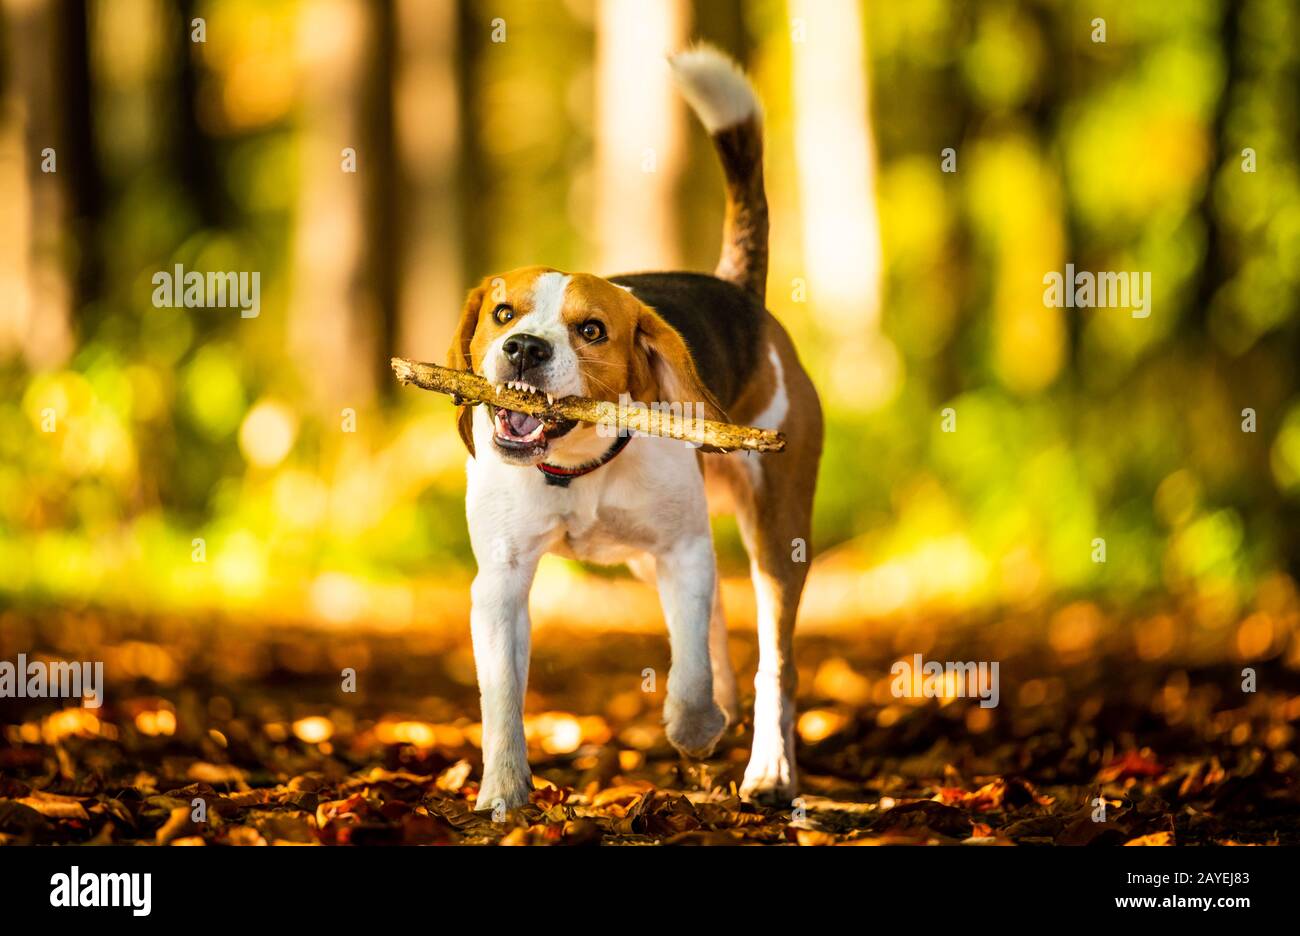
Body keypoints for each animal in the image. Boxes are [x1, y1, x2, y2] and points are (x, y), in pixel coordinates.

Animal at [449, 43, 821, 806]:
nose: (524, 349)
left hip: (777, 533)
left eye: (591, 329)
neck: (577, 466)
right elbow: (501, 697)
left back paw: (767, 765)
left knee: (772, 657)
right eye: (503, 313)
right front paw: (503, 791)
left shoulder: (683, 551)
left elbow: (689, 673)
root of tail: (738, 291)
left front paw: (693, 726)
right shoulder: (499, 579)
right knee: (715, 624)